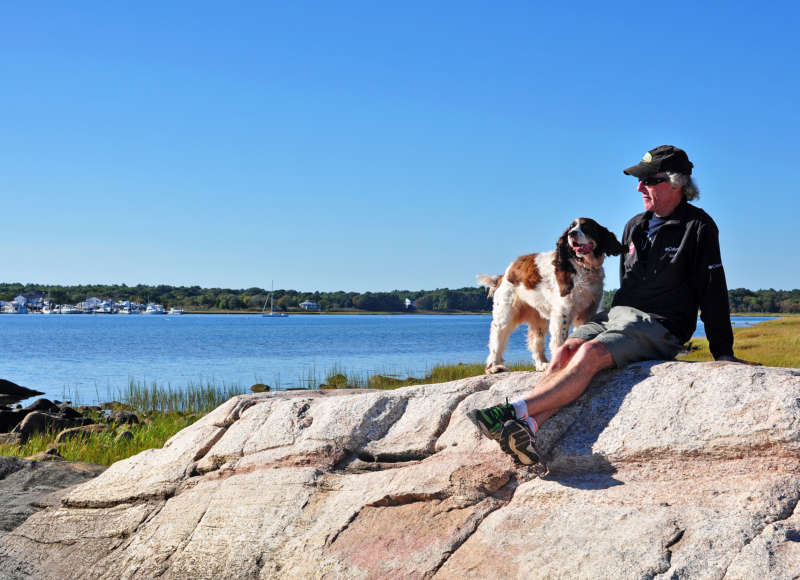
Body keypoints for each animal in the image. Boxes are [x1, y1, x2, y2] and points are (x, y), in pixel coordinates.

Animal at [478, 216, 620, 372]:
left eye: (586, 227)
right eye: (571, 227)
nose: (571, 234)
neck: (583, 267)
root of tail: (503, 275)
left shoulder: (588, 311)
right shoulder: (563, 310)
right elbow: (560, 340)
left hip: (538, 318)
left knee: (536, 340)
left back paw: (542, 364)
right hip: (506, 312)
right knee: (497, 336)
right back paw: (494, 367)